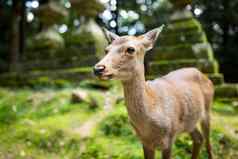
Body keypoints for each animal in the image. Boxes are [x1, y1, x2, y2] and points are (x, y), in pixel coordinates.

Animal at [92, 25, 214, 159]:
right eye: (106, 50)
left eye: (130, 49)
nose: (98, 68)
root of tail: (204, 76)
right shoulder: (145, 142)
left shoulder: (170, 138)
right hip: (190, 122)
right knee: (199, 138)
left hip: (207, 110)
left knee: (208, 142)